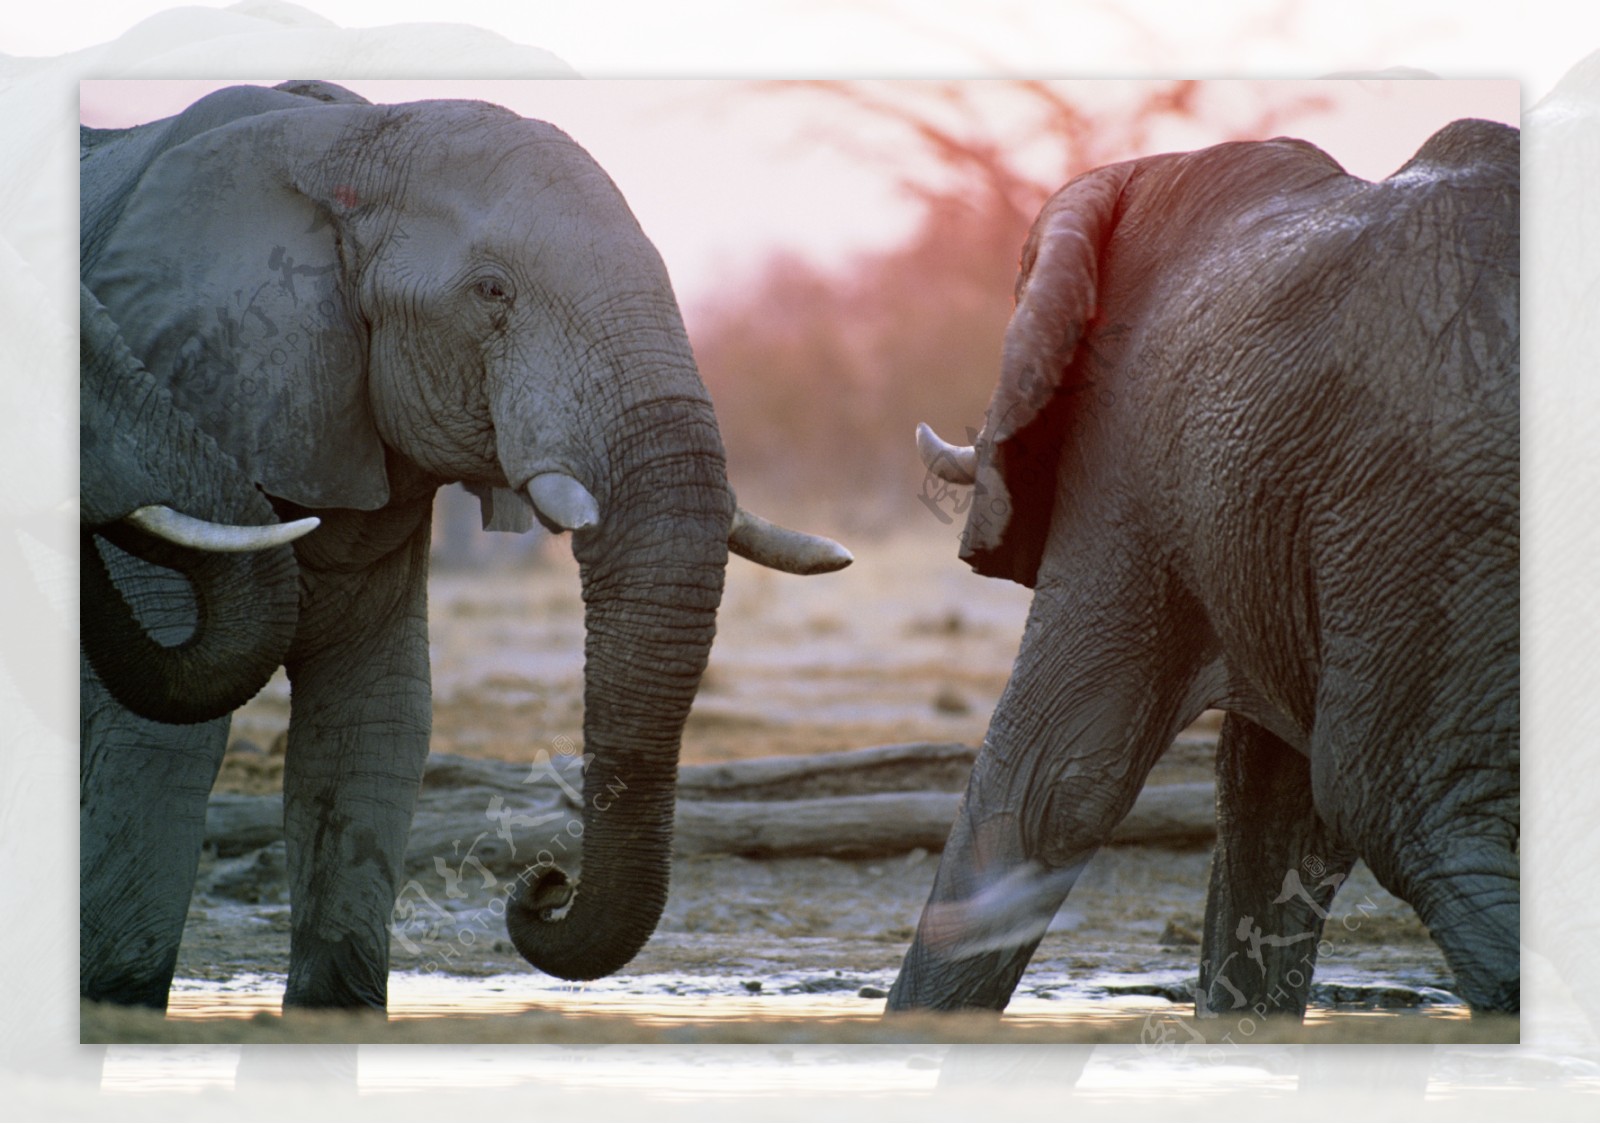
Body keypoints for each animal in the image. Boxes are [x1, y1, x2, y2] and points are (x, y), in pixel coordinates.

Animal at [78, 79, 851, 1011]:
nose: (545, 884)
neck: (348, 139)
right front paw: (116, 1002)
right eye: (491, 292)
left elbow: (379, 718)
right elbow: (159, 735)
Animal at [896, 116, 1516, 1024]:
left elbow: (1051, 781)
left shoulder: (1122, 464)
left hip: (1432, 508)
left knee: (1409, 813)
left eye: (1015, 284)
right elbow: (1273, 820)